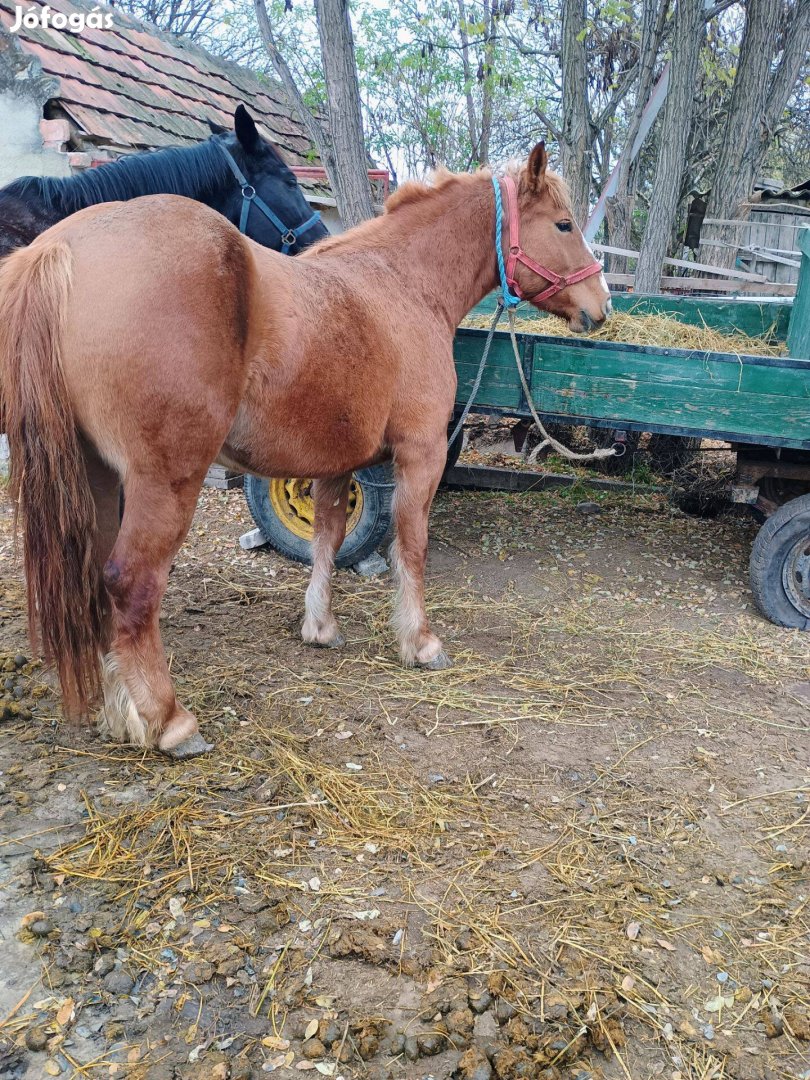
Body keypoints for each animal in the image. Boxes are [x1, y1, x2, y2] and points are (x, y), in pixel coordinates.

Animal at [0, 143, 609, 756]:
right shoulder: (421, 454)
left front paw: (320, 628)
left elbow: (327, 540)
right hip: (164, 482)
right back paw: (169, 721)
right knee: (129, 583)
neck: (403, 285)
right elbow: (410, 547)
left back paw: (118, 709)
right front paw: (420, 642)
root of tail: (58, 249)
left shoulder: (336, 464)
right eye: (564, 224)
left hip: (95, 475)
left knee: (94, 579)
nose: (601, 307)